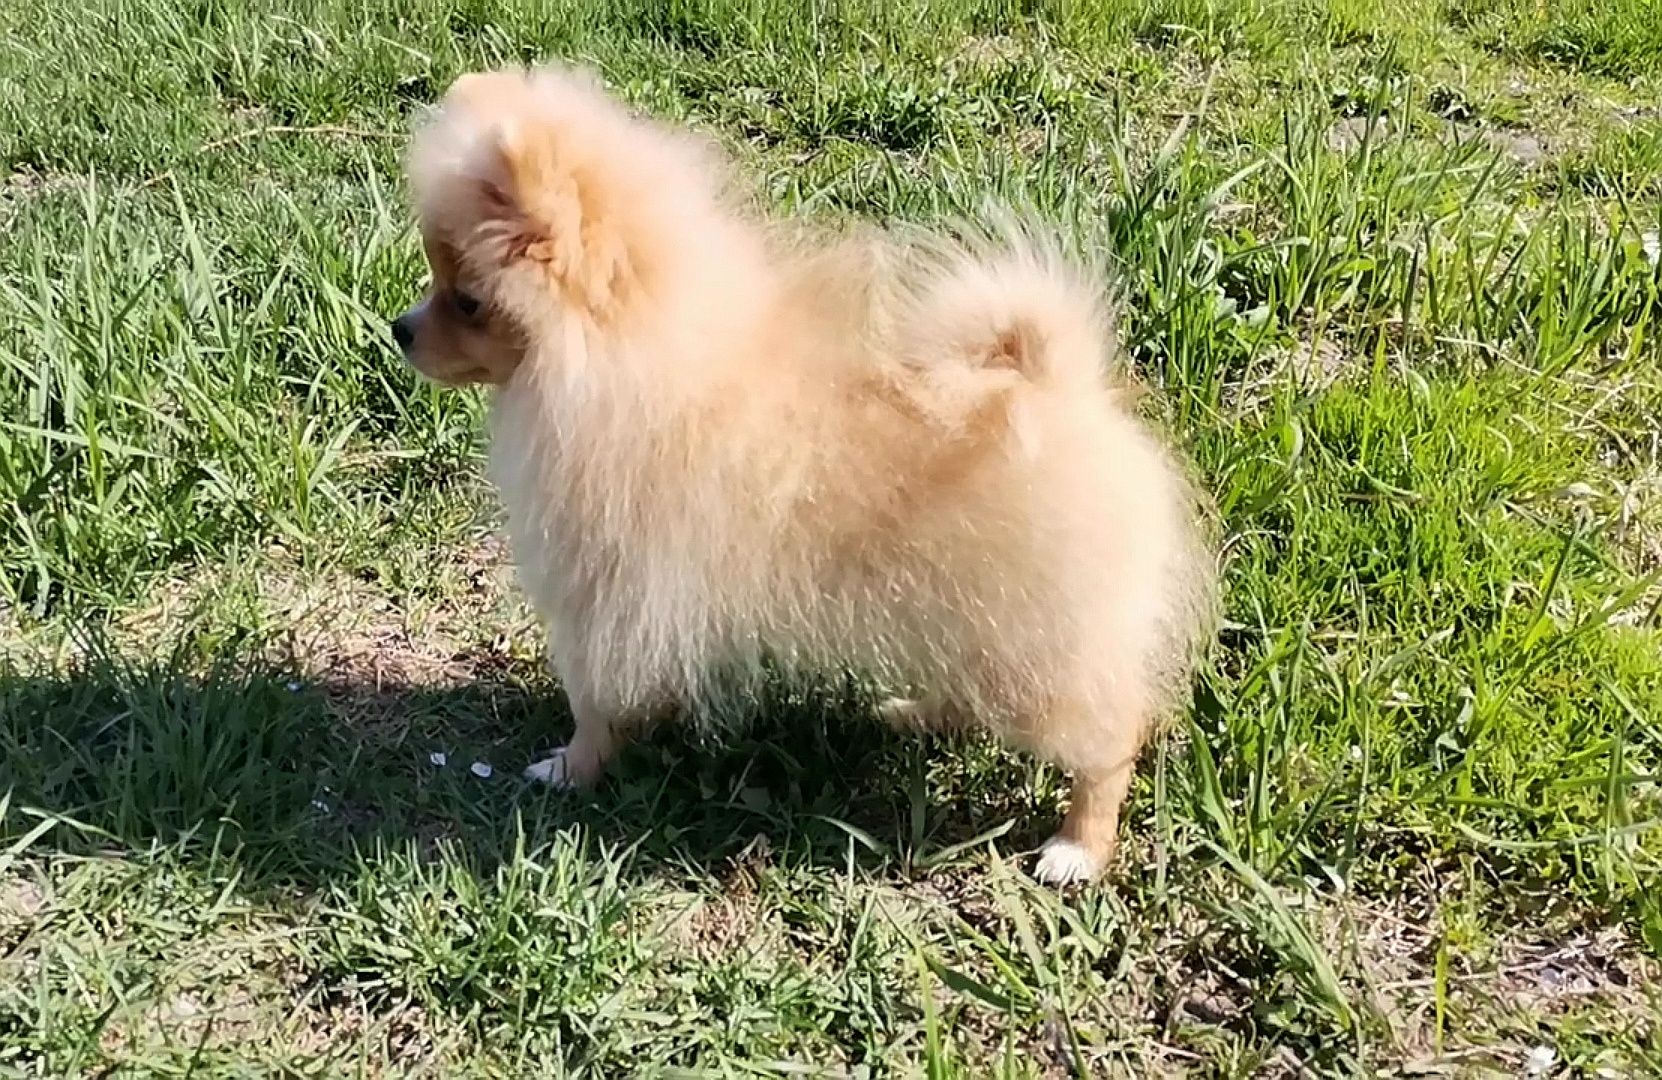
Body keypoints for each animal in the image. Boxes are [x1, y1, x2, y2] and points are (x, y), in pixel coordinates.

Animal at [393, 67, 1216, 883]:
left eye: (468, 299)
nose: (399, 329)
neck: (635, 354)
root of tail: (1063, 390)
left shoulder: (602, 598)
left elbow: (593, 705)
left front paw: (572, 768)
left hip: (1038, 640)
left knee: (1111, 738)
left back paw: (1079, 847)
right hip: (972, 616)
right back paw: (914, 714)